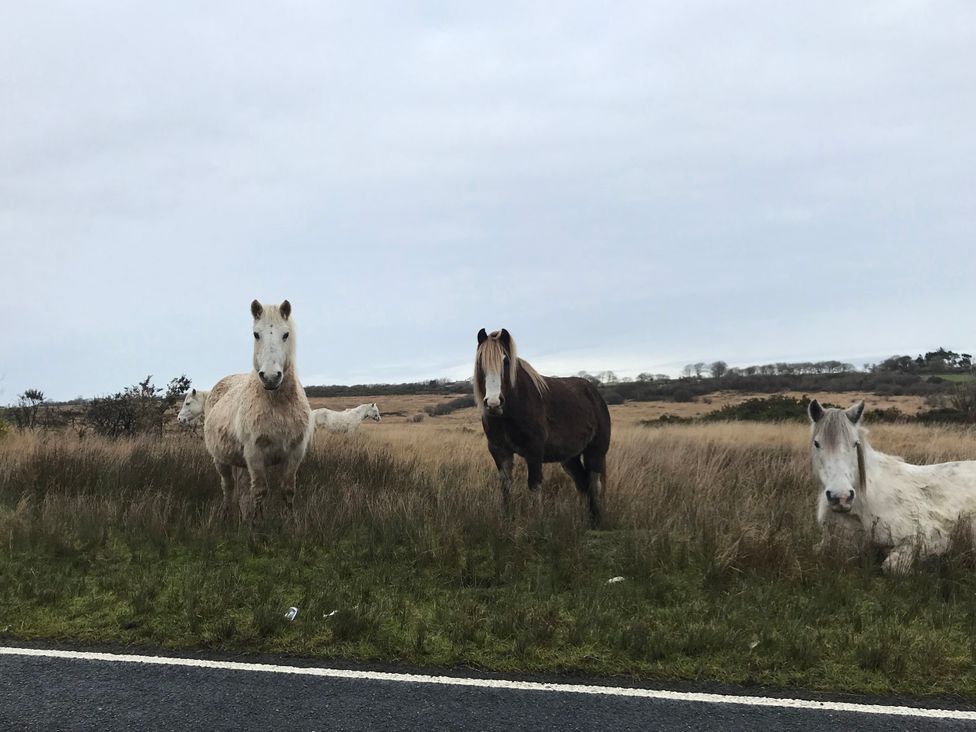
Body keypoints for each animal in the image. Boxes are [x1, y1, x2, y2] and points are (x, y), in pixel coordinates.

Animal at [204, 300, 313, 522]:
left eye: (286, 334)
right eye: (256, 334)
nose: (270, 377)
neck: (277, 405)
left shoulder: (294, 454)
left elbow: (288, 491)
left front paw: (290, 524)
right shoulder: (255, 455)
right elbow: (260, 491)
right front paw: (257, 525)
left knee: (241, 488)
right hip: (221, 461)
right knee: (228, 487)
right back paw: (227, 515)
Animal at [473, 328, 611, 528]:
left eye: (506, 361)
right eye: (480, 362)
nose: (493, 403)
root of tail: (595, 394)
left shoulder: (534, 451)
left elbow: (534, 485)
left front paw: (536, 524)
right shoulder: (500, 451)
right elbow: (506, 487)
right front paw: (507, 521)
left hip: (596, 452)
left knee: (595, 484)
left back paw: (597, 523)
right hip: (569, 458)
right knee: (583, 483)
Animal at [809, 399, 976, 574]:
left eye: (855, 443)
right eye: (816, 443)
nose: (841, 497)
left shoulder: (930, 536)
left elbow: (892, 566)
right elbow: (816, 550)